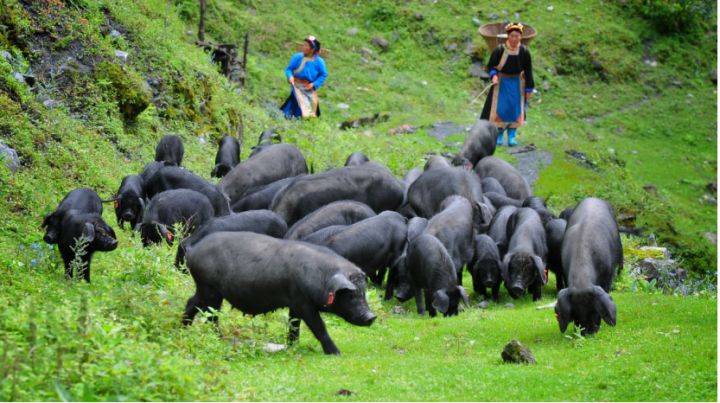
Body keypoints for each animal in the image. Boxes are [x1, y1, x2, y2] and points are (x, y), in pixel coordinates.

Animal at [183, 232, 376, 356]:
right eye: (350, 295)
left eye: (363, 292)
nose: (371, 316)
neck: (322, 277)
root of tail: (194, 250)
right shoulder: (302, 302)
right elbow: (318, 327)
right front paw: (336, 353)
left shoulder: (295, 304)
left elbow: (294, 325)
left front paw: (292, 346)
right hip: (210, 288)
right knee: (210, 315)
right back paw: (221, 339)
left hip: (205, 288)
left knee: (192, 303)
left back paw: (183, 328)